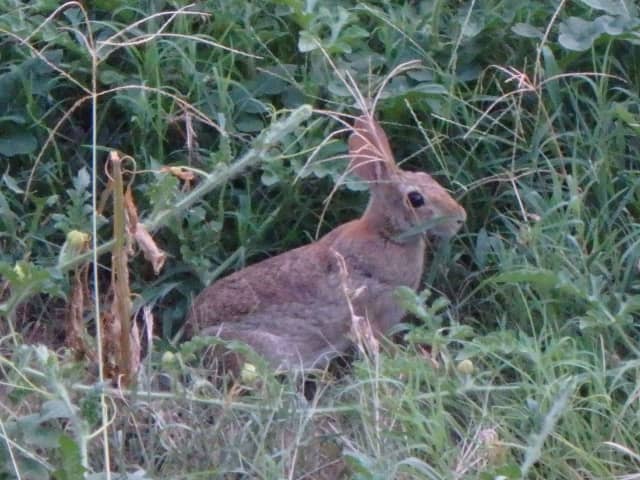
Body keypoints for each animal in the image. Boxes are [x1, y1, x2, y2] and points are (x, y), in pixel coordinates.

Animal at [183, 114, 466, 373]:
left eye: (426, 176)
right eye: (415, 199)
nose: (460, 218)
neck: (387, 234)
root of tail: (189, 336)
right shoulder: (373, 314)